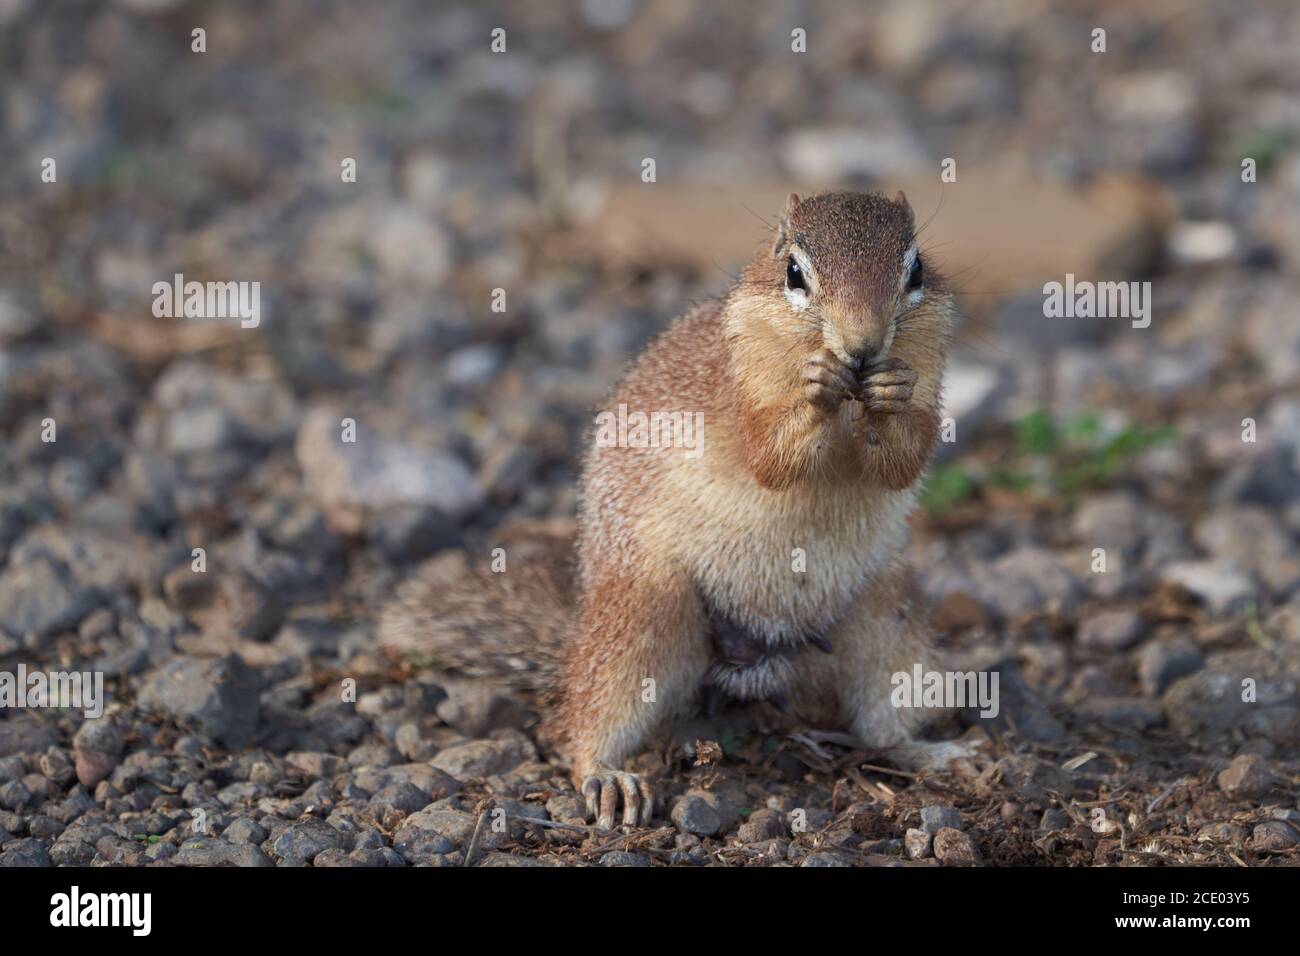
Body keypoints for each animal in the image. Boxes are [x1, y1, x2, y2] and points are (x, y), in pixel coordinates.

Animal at [379, 188, 972, 832]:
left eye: (915, 271)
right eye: (794, 273)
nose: (862, 348)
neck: (849, 402)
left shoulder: (930, 370)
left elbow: (905, 458)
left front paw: (891, 391)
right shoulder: (740, 388)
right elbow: (769, 455)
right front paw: (816, 387)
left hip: (888, 615)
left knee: (881, 722)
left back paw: (936, 754)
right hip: (647, 612)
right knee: (581, 716)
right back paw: (606, 776)